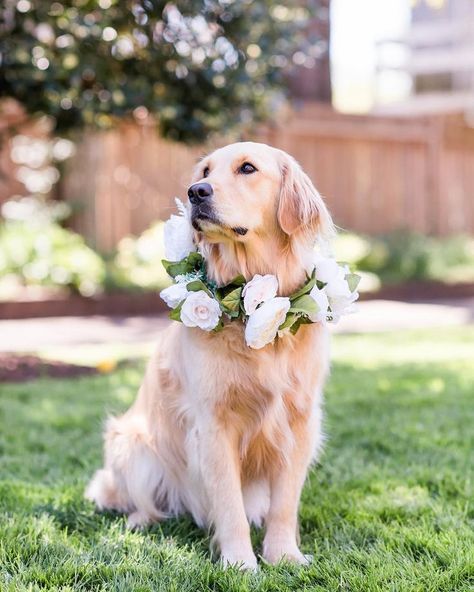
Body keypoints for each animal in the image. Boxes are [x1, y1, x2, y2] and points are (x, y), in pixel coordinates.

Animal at [87, 142, 336, 568]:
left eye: (247, 168)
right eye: (204, 170)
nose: (195, 192)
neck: (256, 303)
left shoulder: (300, 422)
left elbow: (284, 504)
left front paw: (283, 555)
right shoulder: (214, 425)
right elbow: (229, 503)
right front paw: (240, 563)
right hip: (131, 444)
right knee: (141, 500)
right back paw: (140, 520)